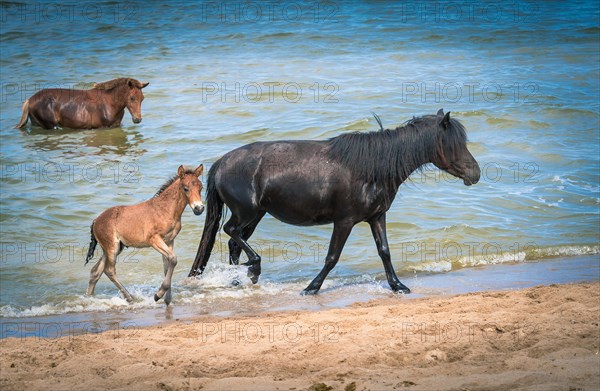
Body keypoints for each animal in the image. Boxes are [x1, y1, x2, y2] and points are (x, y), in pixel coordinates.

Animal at [15, 78, 149, 130]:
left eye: (142, 98)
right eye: (132, 98)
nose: (137, 119)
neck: (111, 104)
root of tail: (29, 100)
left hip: (37, 123)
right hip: (49, 125)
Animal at [85, 165, 205, 306]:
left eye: (201, 187)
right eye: (185, 188)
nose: (199, 208)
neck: (165, 210)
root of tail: (95, 221)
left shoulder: (169, 241)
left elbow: (167, 265)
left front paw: (167, 298)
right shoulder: (154, 240)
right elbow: (173, 259)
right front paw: (158, 295)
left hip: (114, 248)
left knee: (96, 271)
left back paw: (90, 298)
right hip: (112, 248)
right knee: (109, 270)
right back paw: (130, 298)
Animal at [190, 109, 480, 294]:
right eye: (454, 143)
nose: (475, 173)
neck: (372, 167)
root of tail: (221, 162)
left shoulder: (377, 217)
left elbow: (384, 251)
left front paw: (398, 286)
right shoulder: (344, 221)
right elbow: (332, 257)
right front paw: (311, 288)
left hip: (256, 214)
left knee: (234, 241)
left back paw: (239, 279)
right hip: (247, 212)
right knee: (232, 232)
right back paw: (254, 269)